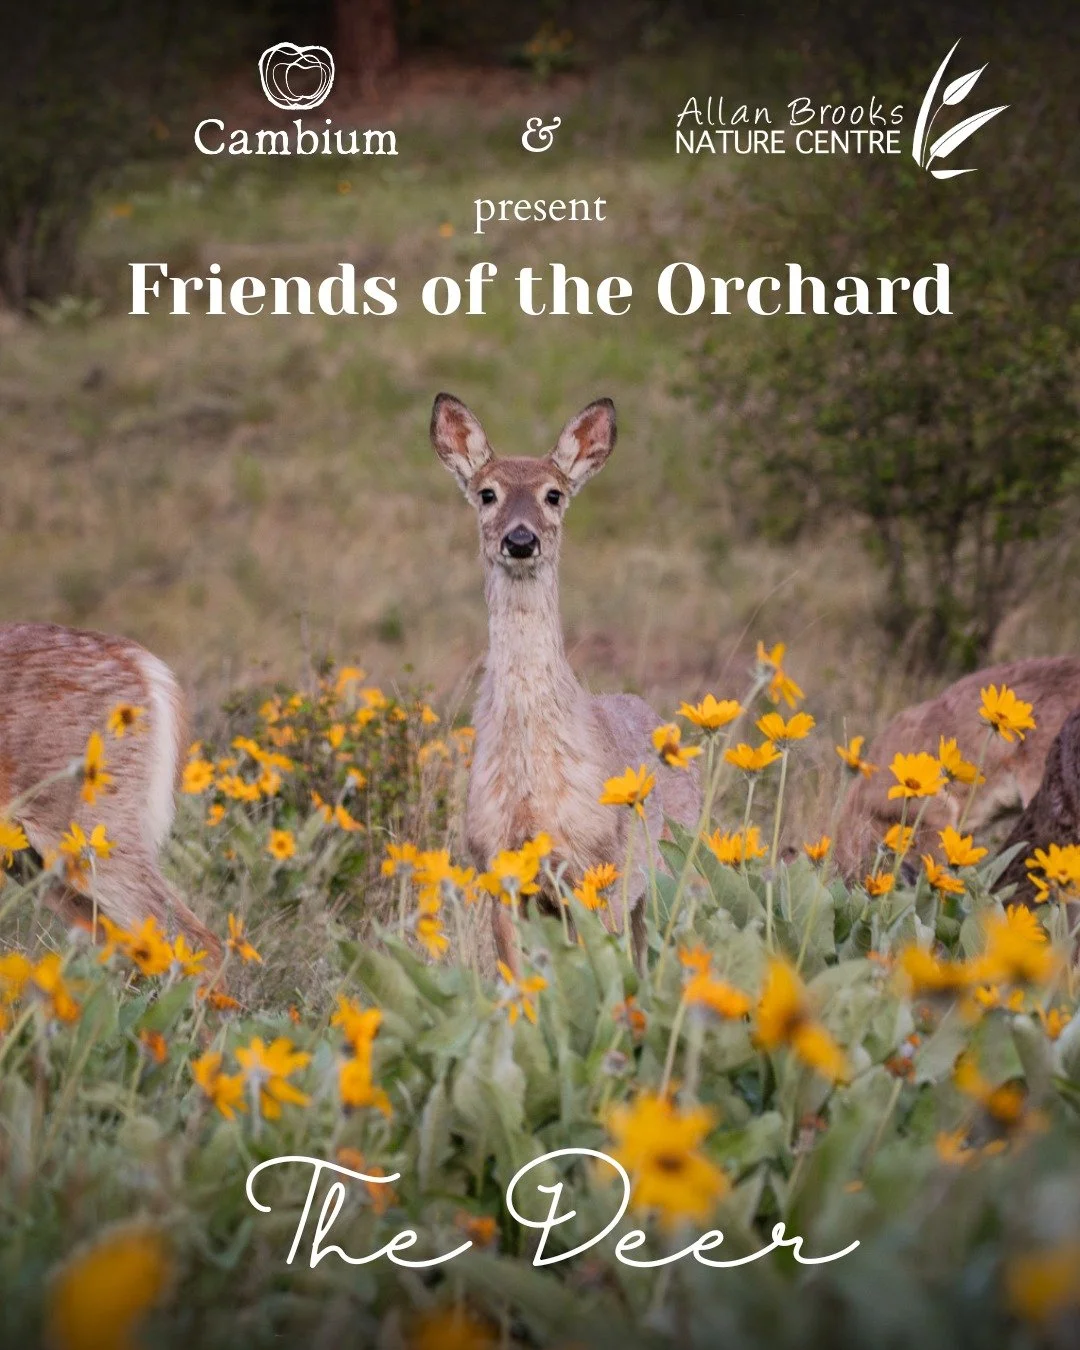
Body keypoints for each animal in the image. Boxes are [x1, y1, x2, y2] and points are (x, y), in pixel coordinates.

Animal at [430, 393, 701, 970]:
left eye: (553, 495)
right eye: (487, 493)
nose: (520, 539)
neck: (535, 789)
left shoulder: (604, 868)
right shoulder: (500, 869)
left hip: (675, 873)